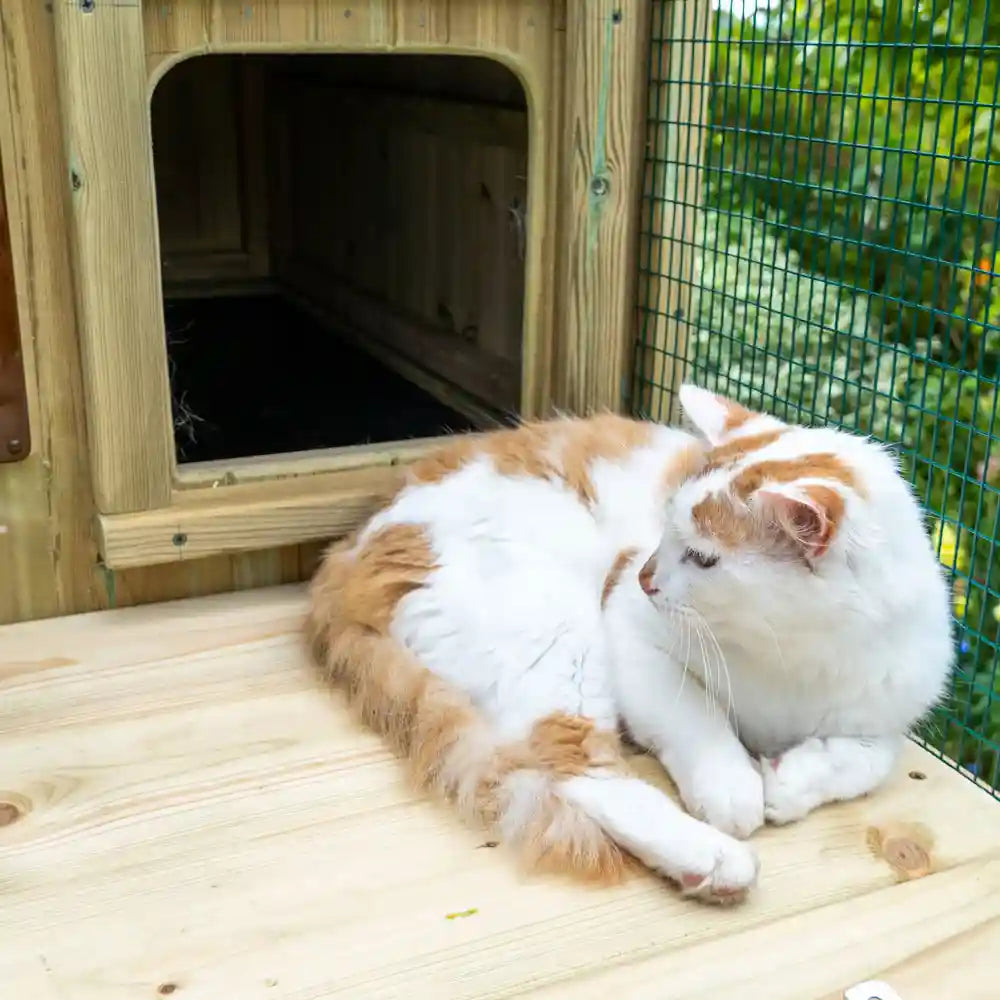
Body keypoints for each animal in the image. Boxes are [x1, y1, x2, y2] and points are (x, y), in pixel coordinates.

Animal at [306, 386, 952, 904]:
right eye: (664, 529)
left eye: (703, 558)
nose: (646, 576)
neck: (787, 653)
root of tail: (344, 556)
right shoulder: (632, 634)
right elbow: (698, 719)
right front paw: (734, 787)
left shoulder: (888, 711)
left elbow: (870, 761)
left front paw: (792, 781)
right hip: (557, 632)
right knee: (574, 768)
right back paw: (712, 862)